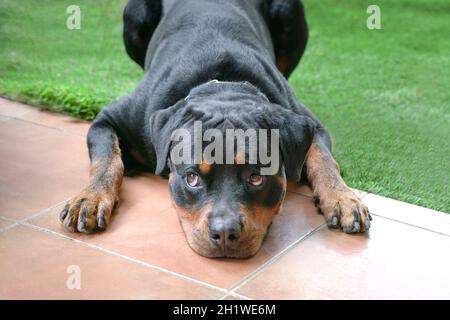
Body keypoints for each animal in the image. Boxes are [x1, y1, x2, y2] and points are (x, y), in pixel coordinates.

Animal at [59, 0, 370, 258]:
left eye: (256, 177)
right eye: (192, 178)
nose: (224, 232)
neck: (222, 86)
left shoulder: (308, 121)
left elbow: (324, 160)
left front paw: (343, 198)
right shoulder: (111, 118)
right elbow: (107, 159)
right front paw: (90, 198)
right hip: (134, 17)